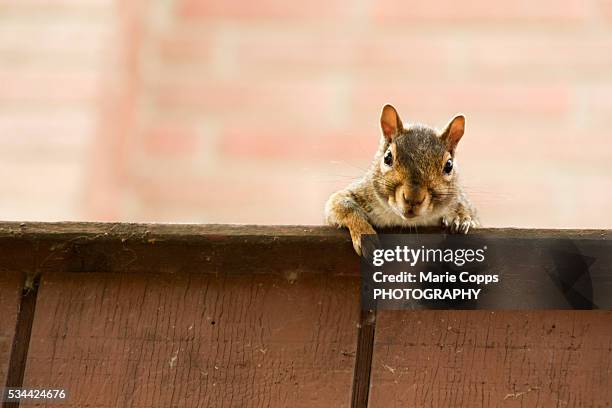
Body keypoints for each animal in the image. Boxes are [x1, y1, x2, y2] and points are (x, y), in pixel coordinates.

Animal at [326, 103, 478, 255]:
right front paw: (365, 236)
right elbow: (340, 205)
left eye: (449, 166)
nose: (413, 199)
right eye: (387, 157)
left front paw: (461, 218)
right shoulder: (362, 193)